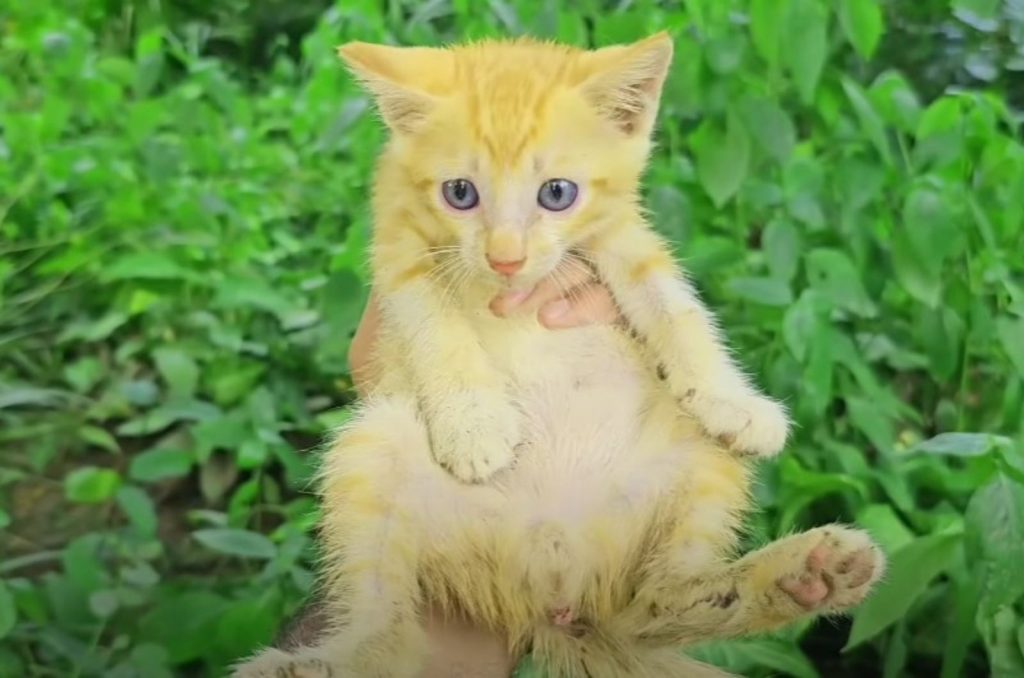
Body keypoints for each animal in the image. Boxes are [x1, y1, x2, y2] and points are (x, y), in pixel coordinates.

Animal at [235, 33, 884, 678]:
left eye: (557, 193)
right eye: (459, 193)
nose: (505, 259)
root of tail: (549, 591)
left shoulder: (623, 234)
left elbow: (675, 306)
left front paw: (733, 400)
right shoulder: (395, 245)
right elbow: (432, 319)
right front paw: (475, 426)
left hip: (698, 457)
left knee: (652, 608)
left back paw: (804, 576)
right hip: (373, 449)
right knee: (392, 630)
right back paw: (318, 662)